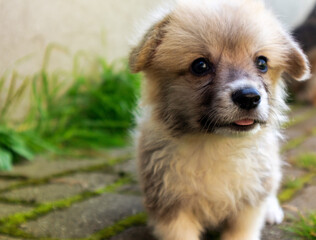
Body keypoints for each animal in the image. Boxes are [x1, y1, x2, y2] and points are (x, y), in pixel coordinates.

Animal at [128, 0, 308, 239]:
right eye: (200, 66)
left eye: (262, 63)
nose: (249, 97)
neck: (217, 144)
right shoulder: (171, 207)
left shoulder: (248, 205)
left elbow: (243, 229)